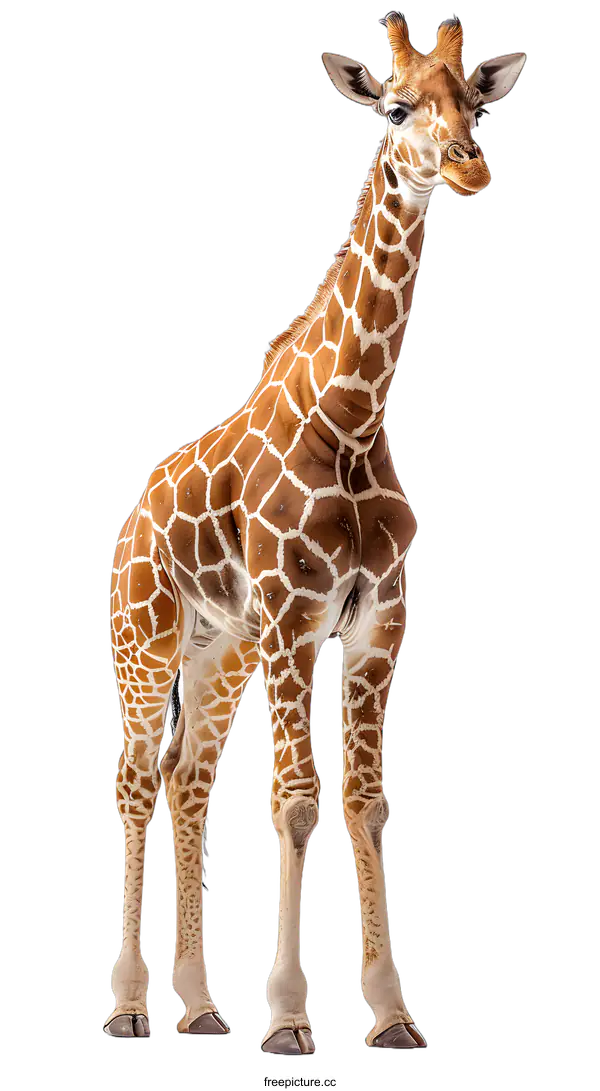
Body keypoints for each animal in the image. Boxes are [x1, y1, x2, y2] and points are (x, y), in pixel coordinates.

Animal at [105, 12, 527, 1052]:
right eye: (398, 106)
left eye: (478, 98)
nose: (469, 169)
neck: (356, 413)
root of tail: (129, 522)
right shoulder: (296, 617)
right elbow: (296, 806)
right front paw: (292, 1022)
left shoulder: (375, 622)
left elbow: (367, 805)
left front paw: (391, 1017)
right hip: (148, 639)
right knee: (133, 782)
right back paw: (130, 1008)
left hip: (220, 650)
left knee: (185, 780)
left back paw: (200, 1009)